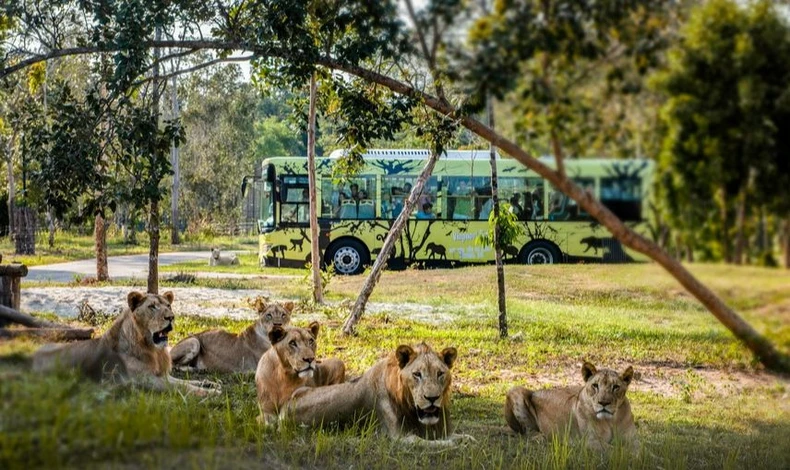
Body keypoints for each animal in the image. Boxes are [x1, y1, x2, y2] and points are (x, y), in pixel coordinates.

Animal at [32, 290, 220, 396]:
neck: (154, 350)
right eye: (152, 307)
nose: (171, 317)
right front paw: (209, 393)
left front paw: (209, 383)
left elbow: (186, 382)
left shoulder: (162, 375)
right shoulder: (145, 380)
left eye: (168, 305)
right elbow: (181, 387)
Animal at [280, 342, 470, 444]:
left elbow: (459, 436)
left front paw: (467, 438)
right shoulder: (399, 438)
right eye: (417, 374)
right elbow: (441, 443)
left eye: (440, 373)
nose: (432, 398)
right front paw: (458, 444)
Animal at [504, 362, 640, 450]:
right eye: (595, 385)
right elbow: (615, 450)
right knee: (527, 431)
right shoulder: (590, 441)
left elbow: (639, 449)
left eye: (615, 387)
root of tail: (535, 391)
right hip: (514, 390)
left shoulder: (633, 439)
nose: (603, 403)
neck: (611, 421)